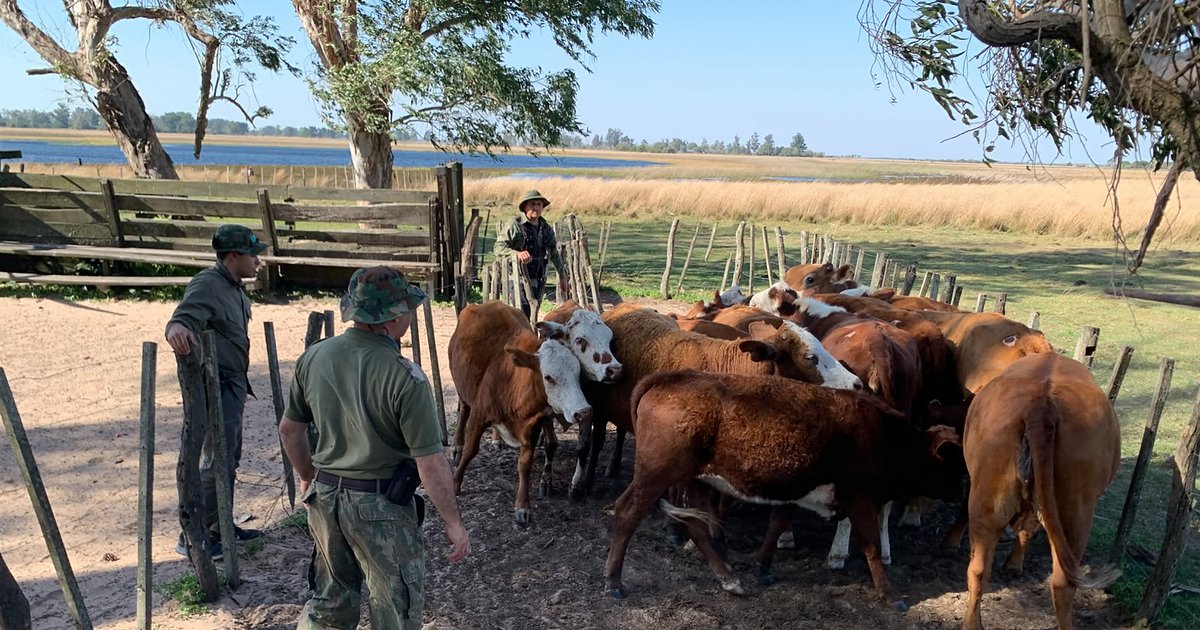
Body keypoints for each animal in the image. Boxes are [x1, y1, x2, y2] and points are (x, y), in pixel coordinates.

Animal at [448, 301, 592, 524]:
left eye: (578, 373)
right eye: (548, 377)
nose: (583, 412)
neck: (513, 379)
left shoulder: (531, 426)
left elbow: (524, 465)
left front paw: (523, 507)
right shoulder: (479, 415)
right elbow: (471, 450)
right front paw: (456, 482)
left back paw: (496, 438)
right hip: (462, 389)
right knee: (463, 411)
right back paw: (457, 445)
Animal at [604, 370, 965, 611]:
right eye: (954, 464)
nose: (962, 493)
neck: (884, 434)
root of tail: (670, 378)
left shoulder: (796, 491)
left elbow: (777, 526)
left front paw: (764, 568)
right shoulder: (861, 500)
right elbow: (872, 546)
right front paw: (891, 595)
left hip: (694, 480)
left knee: (696, 526)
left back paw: (729, 578)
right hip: (654, 476)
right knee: (627, 513)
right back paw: (613, 581)